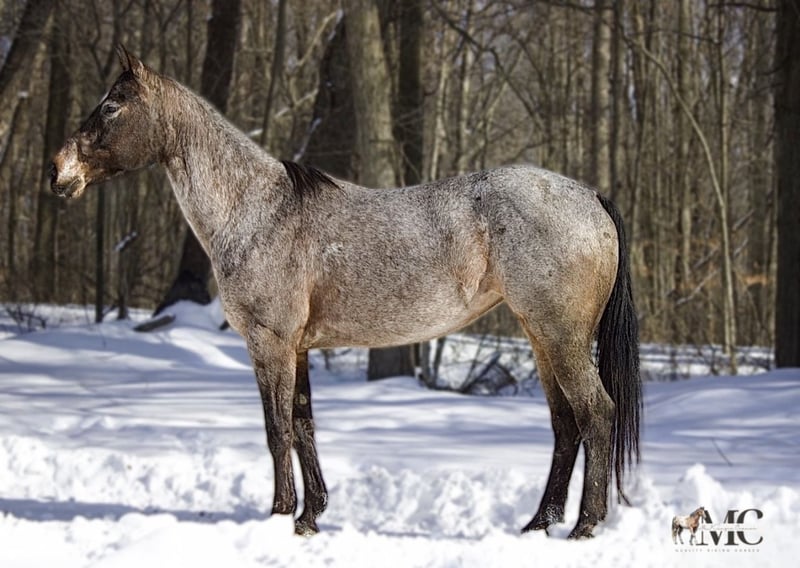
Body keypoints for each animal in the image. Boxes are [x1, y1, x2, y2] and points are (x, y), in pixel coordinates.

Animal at [49, 45, 641, 540]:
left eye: (111, 107)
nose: (58, 171)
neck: (258, 211)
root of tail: (590, 197)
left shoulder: (270, 345)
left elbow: (277, 430)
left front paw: (279, 516)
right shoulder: (298, 348)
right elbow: (304, 426)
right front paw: (311, 516)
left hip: (561, 338)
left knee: (596, 415)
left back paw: (584, 527)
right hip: (542, 338)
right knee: (566, 426)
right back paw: (538, 525)